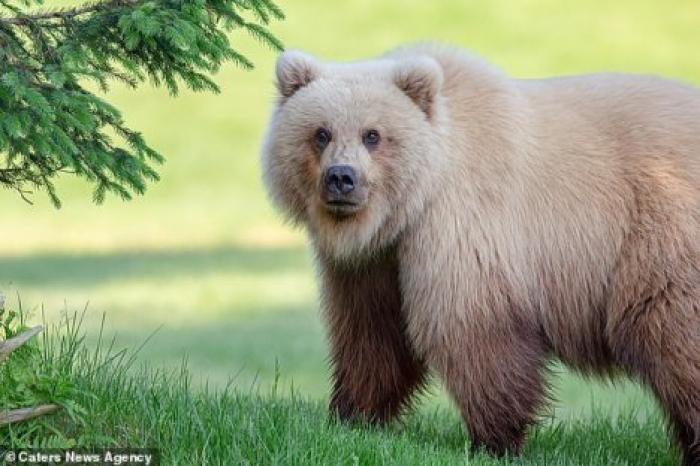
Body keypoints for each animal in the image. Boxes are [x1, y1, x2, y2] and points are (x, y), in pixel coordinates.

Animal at [260, 42, 696, 462]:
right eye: (321, 133)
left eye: (373, 134)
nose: (342, 178)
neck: (410, 207)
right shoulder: (373, 263)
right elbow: (372, 332)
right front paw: (352, 417)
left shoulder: (465, 223)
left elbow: (472, 329)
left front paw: (494, 441)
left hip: (660, 237)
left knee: (672, 335)